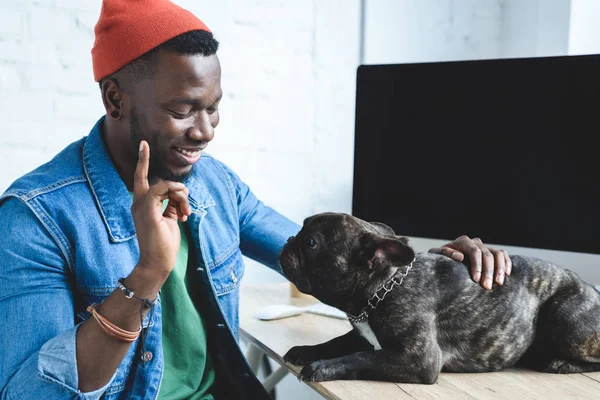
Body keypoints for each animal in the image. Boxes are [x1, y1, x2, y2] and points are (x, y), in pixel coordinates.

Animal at [278, 212, 600, 384]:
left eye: (311, 242)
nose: (289, 240)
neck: (386, 285)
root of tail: (590, 289)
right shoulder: (362, 335)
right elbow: (338, 342)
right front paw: (307, 351)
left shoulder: (417, 359)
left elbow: (361, 357)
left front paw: (322, 367)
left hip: (565, 319)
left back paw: (561, 363)